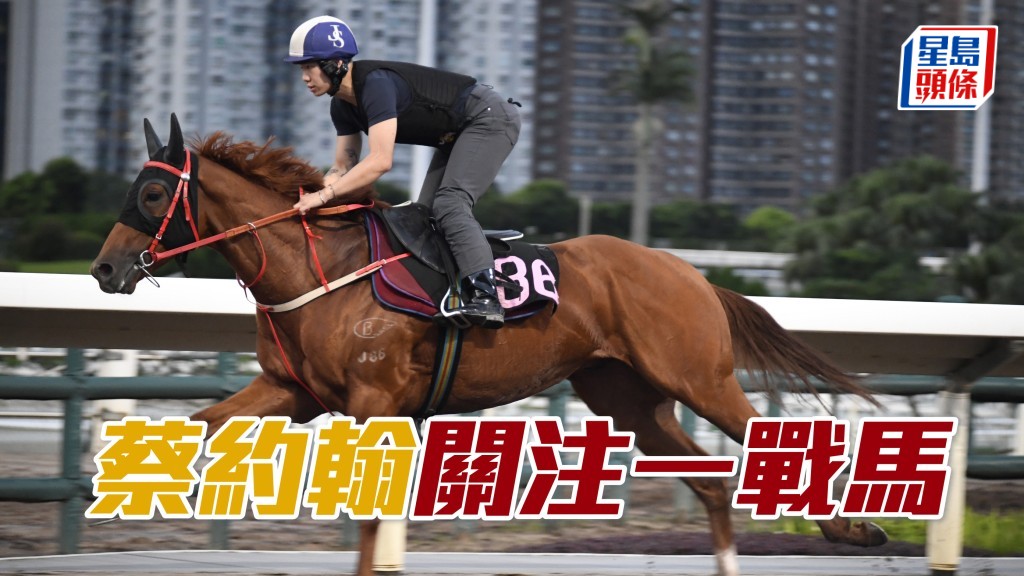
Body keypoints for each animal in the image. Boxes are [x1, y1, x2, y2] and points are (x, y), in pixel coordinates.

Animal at [90, 115, 887, 576]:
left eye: (153, 195)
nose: (105, 269)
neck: (320, 269)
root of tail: (687, 271)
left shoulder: (375, 399)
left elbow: (371, 510)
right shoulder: (296, 392)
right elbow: (204, 424)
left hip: (699, 377)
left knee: (764, 442)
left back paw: (854, 528)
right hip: (627, 397)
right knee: (714, 482)